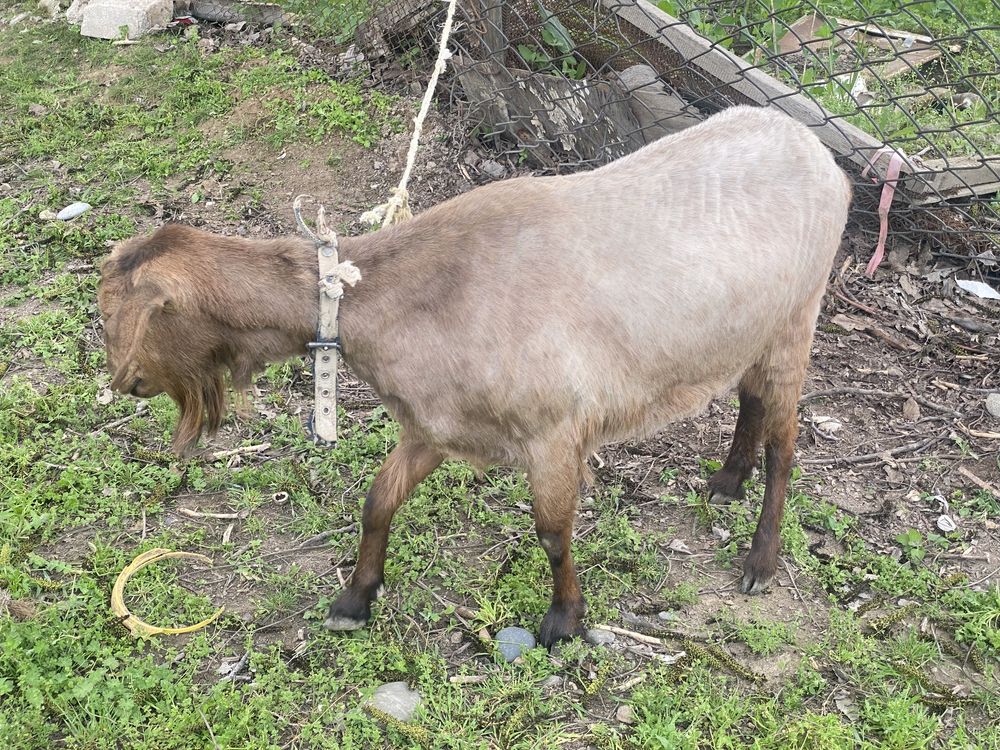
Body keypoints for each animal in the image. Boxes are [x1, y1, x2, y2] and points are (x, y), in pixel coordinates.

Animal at [99, 106, 852, 648]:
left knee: (786, 443)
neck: (411, 293)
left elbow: (552, 532)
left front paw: (563, 621)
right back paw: (727, 480)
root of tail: (823, 158)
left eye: (118, 314)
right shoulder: (434, 425)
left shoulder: (554, 431)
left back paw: (760, 560)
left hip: (799, 316)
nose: (125, 382)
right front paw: (354, 599)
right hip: (751, 328)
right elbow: (379, 500)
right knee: (750, 396)